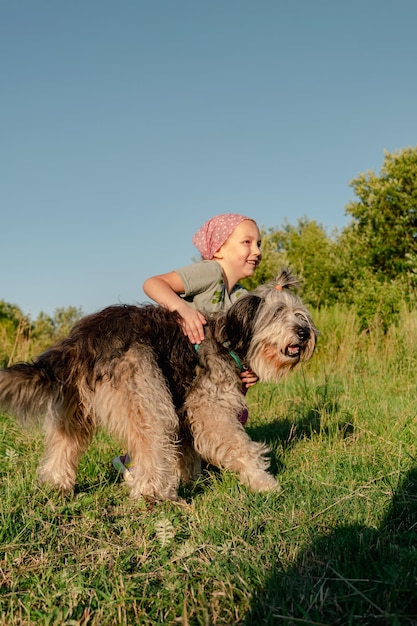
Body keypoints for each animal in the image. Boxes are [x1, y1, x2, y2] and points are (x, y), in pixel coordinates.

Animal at [0, 266, 316, 498]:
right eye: (277, 313)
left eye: (300, 314)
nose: (304, 332)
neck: (228, 338)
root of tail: (79, 341)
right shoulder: (210, 410)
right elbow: (239, 445)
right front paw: (263, 481)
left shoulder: (187, 408)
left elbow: (187, 451)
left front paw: (191, 479)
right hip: (145, 395)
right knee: (151, 441)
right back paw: (154, 494)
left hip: (74, 408)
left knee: (64, 444)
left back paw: (56, 485)